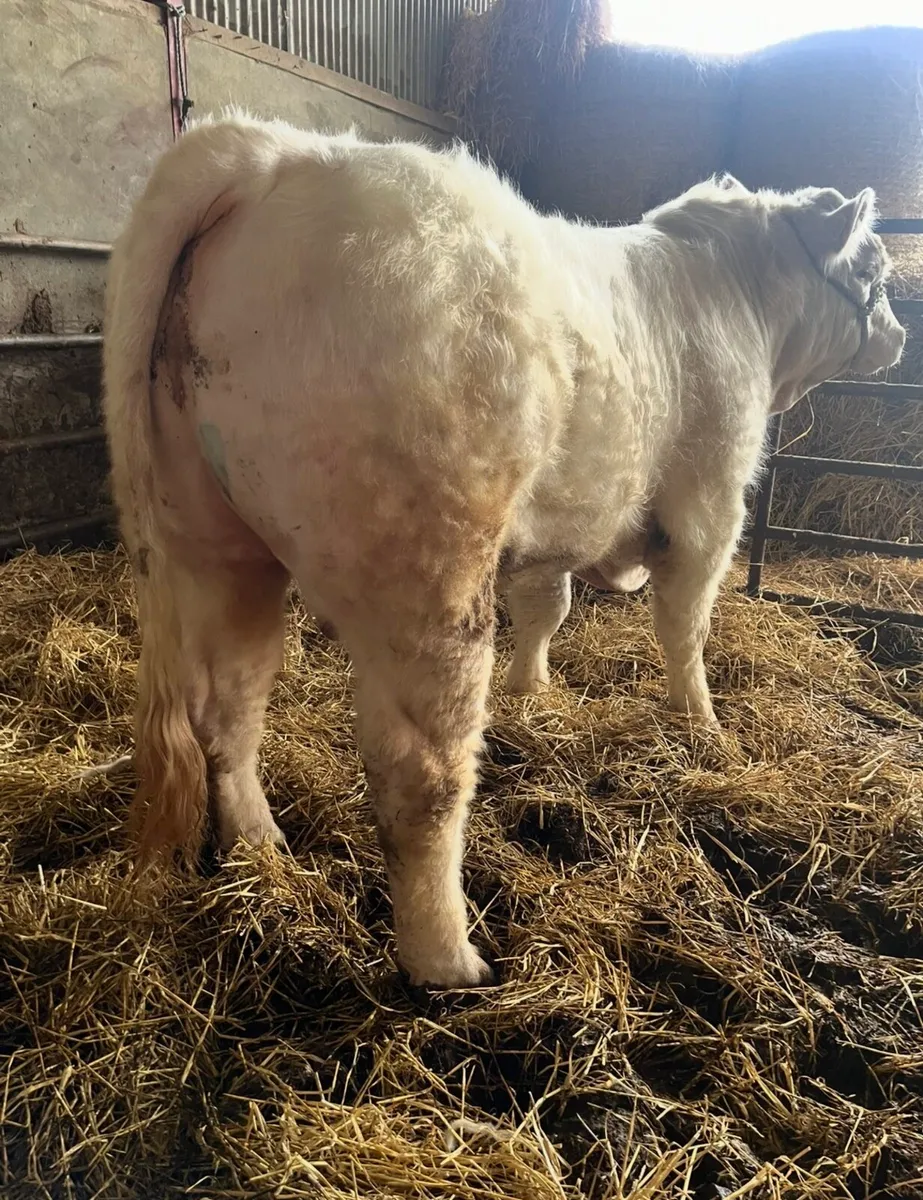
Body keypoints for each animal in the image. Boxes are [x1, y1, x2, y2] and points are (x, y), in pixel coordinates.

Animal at [103, 112, 904, 989]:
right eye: (874, 270)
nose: (898, 336)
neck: (737, 298)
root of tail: (277, 152)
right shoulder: (712, 500)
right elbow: (685, 626)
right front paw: (699, 723)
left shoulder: (554, 529)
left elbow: (545, 607)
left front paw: (531, 690)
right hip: (427, 570)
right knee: (420, 772)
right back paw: (449, 962)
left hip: (212, 541)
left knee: (230, 705)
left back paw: (260, 843)